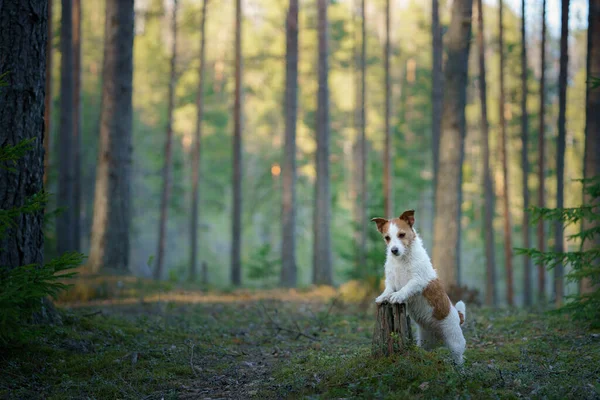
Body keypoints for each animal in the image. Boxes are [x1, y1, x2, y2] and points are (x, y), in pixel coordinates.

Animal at [372, 211, 466, 364]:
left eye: (402, 234)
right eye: (387, 238)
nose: (393, 250)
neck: (402, 260)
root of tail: (458, 316)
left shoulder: (417, 280)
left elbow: (406, 288)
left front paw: (397, 296)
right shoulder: (391, 280)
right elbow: (388, 289)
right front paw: (383, 296)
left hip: (454, 341)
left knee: (459, 357)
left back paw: (459, 368)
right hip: (425, 341)